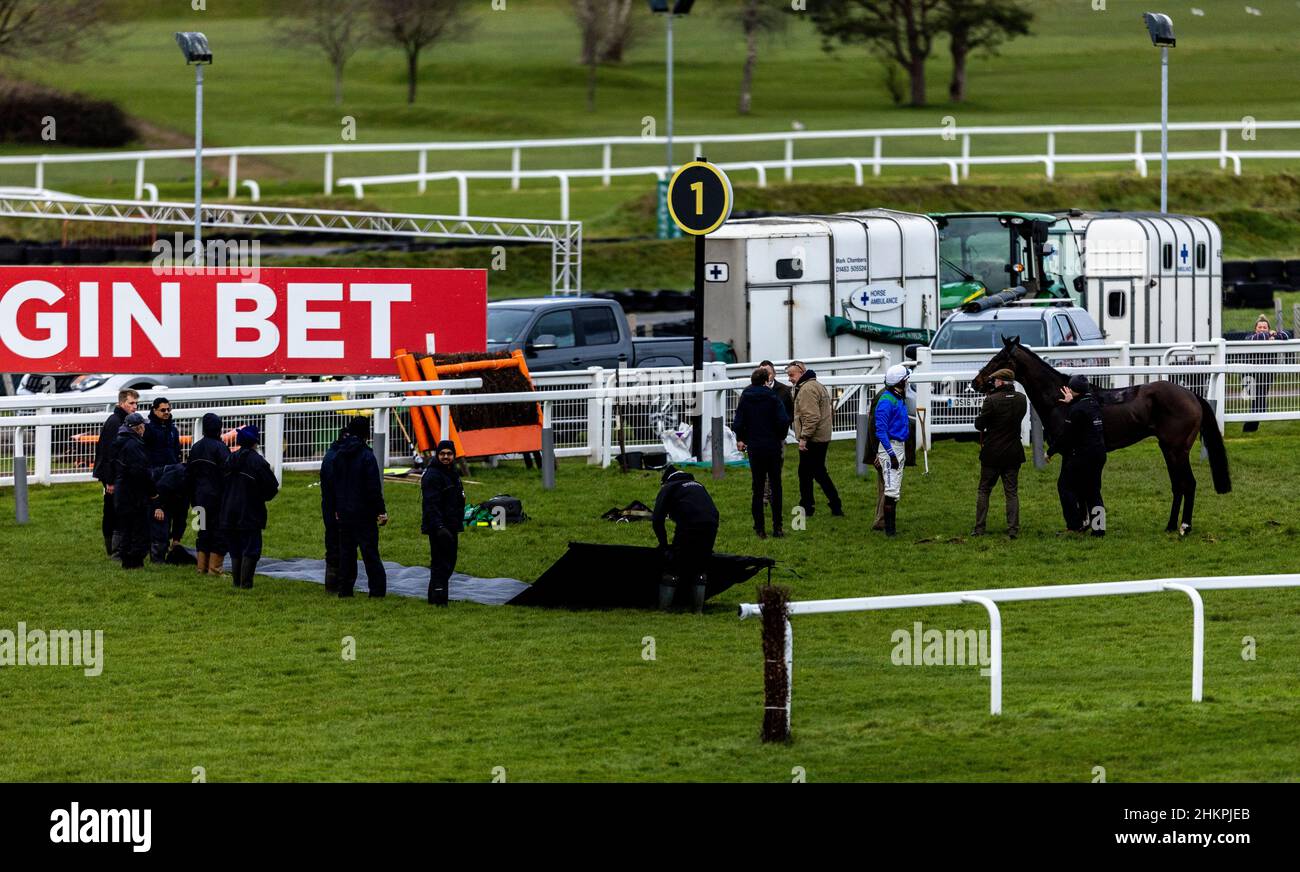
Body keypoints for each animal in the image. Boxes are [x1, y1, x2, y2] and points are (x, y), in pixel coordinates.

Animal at [972, 337, 1232, 535]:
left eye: (999, 358)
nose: (976, 382)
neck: (1062, 400)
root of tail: (1192, 395)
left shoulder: (1069, 451)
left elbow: (1076, 487)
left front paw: (1081, 524)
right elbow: (1085, 487)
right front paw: (1088, 523)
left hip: (1178, 450)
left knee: (1188, 483)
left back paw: (1184, 527)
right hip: (1168, 449)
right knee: (1177, 485)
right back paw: (1169, 526)